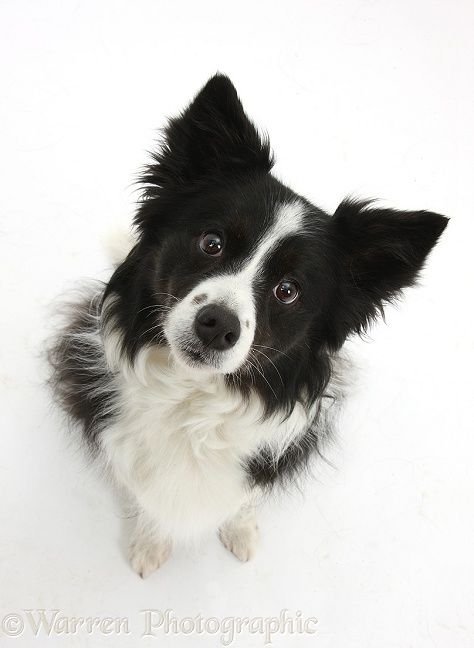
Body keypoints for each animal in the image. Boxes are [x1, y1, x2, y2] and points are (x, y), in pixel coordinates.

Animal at [50, 73, 450, 576]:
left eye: (288, 290)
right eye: (212, 242)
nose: (217, 325)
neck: (192, 398)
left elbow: (242, 498)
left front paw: (239, 532)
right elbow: (146, 496)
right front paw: (150, 542)